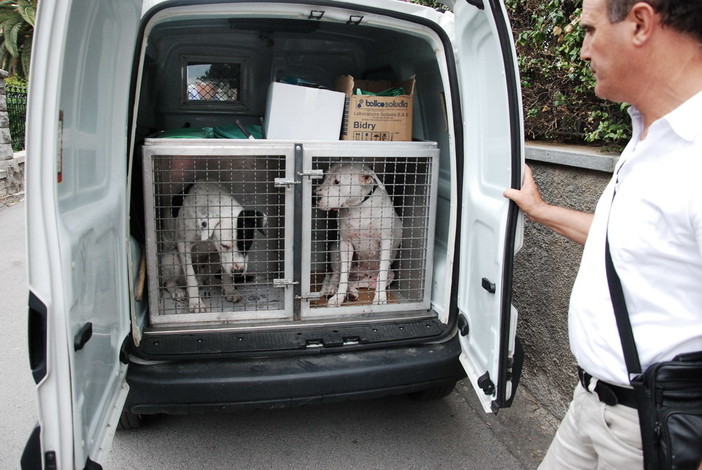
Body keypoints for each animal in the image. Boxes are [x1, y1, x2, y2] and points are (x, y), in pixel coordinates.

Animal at [166, 182, 268, 314]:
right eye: (224, 245)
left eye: (246, 244)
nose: (238, 273)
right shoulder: (183, 245)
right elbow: (191, 277)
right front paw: (196, 302)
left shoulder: (221, 256)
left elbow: (226, 272)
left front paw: (229, 290)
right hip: (172, 258)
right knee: (169, 282)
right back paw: (177, 290)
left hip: (213, 258)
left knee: (205, 277)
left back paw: (218, 283)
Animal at [316, 163, 404, 306]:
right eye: (324, 178)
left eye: (337, 182)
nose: (315, 197)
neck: (359, 208)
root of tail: (360, 273)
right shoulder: (345, 243)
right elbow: (343, 277)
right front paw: (338, 297)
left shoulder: (386, 241)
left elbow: (382, 273)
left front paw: (380, 297)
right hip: (335, 250)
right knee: (336, 276)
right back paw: (332, 290)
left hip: (386, 276)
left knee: (358, 282)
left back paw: (352, 292)